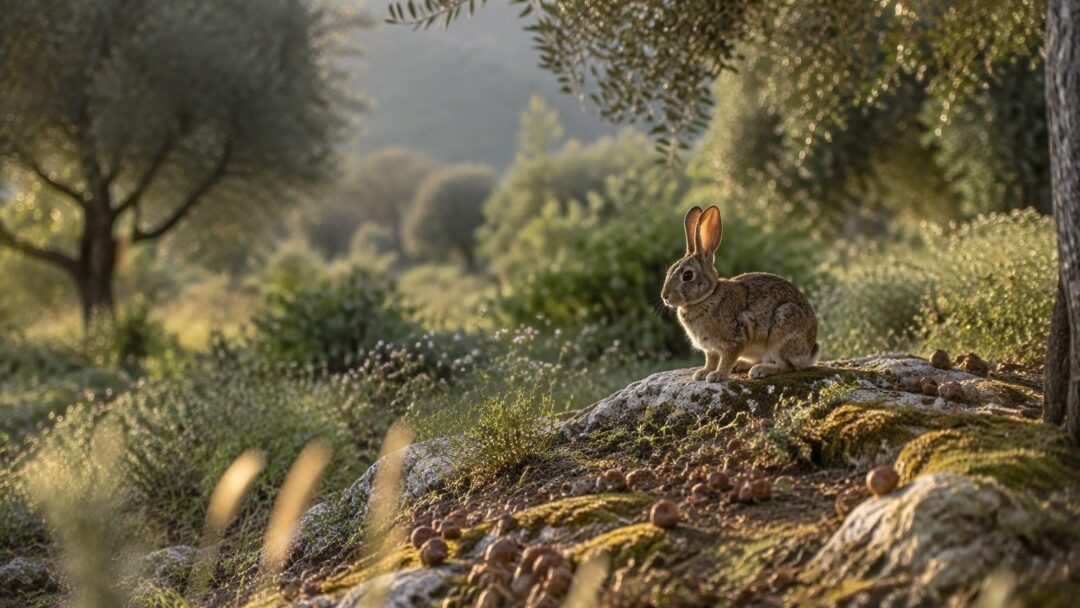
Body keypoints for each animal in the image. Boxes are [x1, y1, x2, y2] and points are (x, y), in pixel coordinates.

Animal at [660, 205, 820, 382]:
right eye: (670, 270)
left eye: (687, 275)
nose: (665, 296)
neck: (707, 297)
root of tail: (809, 351)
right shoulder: (710, 348)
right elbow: (711, 360)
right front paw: (703, 373)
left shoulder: (734, 340)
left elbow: (726, 359)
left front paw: (716, 375)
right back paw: (741, 365)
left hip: (784, 327)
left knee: (786, 366)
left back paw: (760, 370)